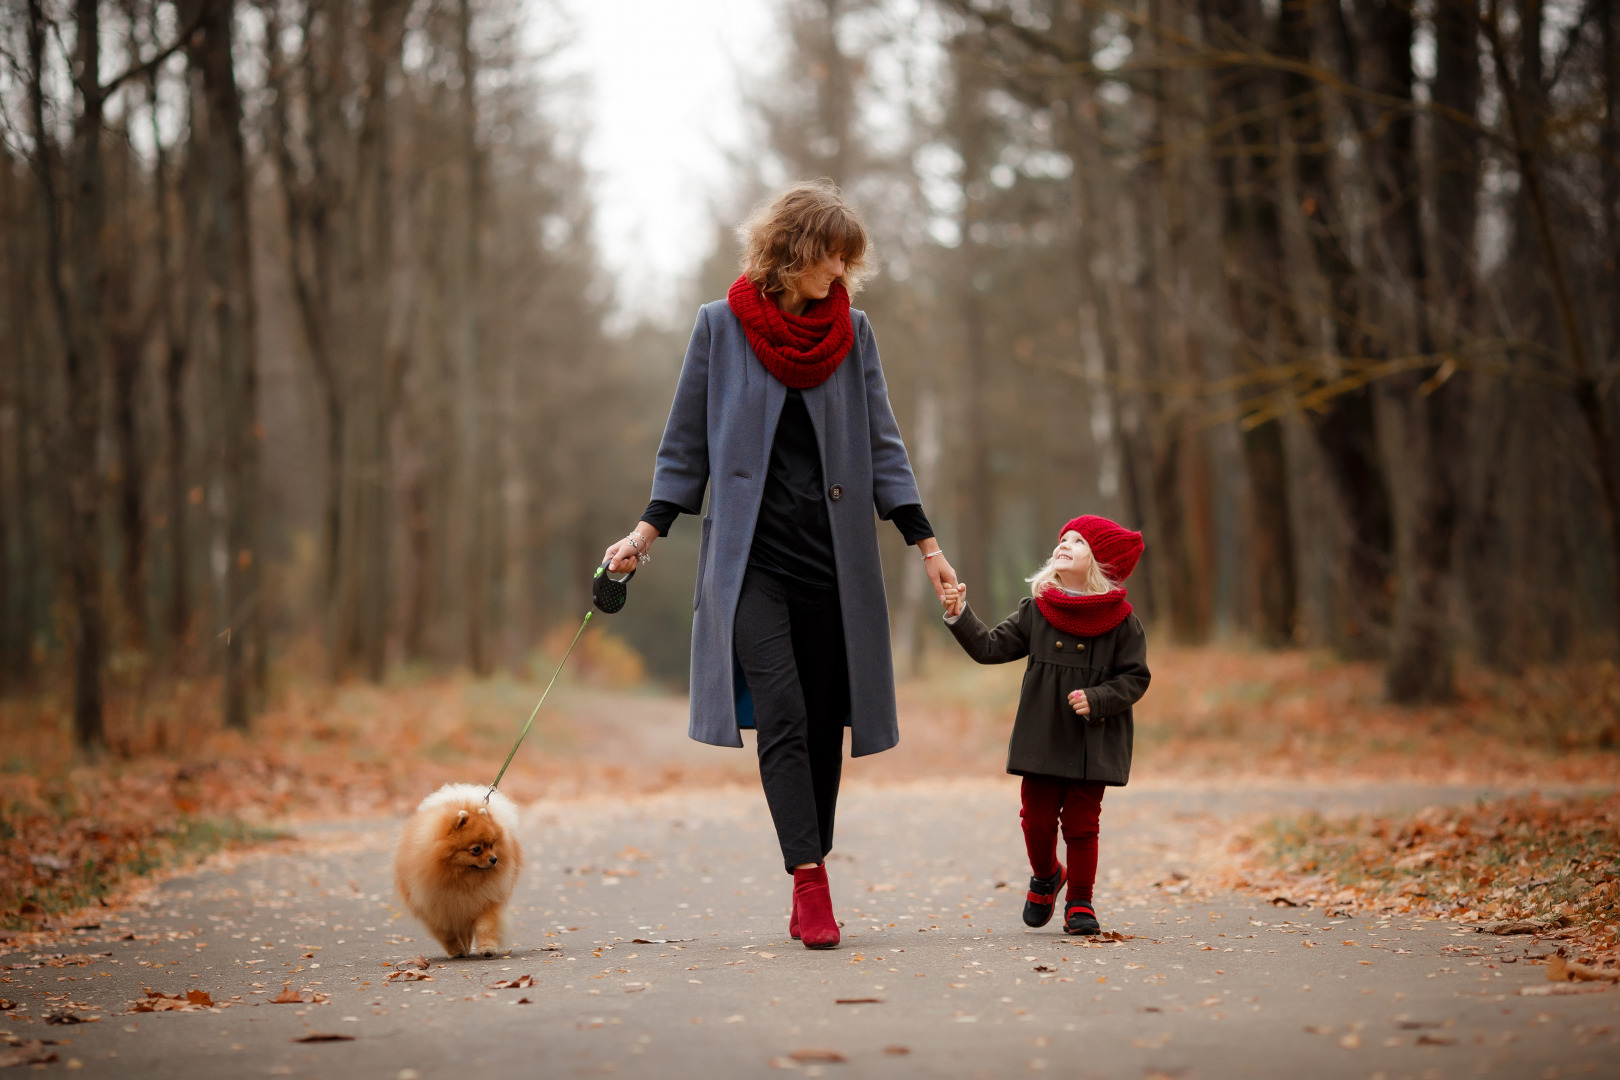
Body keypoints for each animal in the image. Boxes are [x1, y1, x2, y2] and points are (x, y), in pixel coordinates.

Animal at [390, 786, 521, 952]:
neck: (459, 879)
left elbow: (486, 926)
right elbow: (447, 934)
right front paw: (456, 951)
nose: (494, 859)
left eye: (491, 845)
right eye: (476, 849)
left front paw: (487, 947)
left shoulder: (485, 900)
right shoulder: (435, 908)